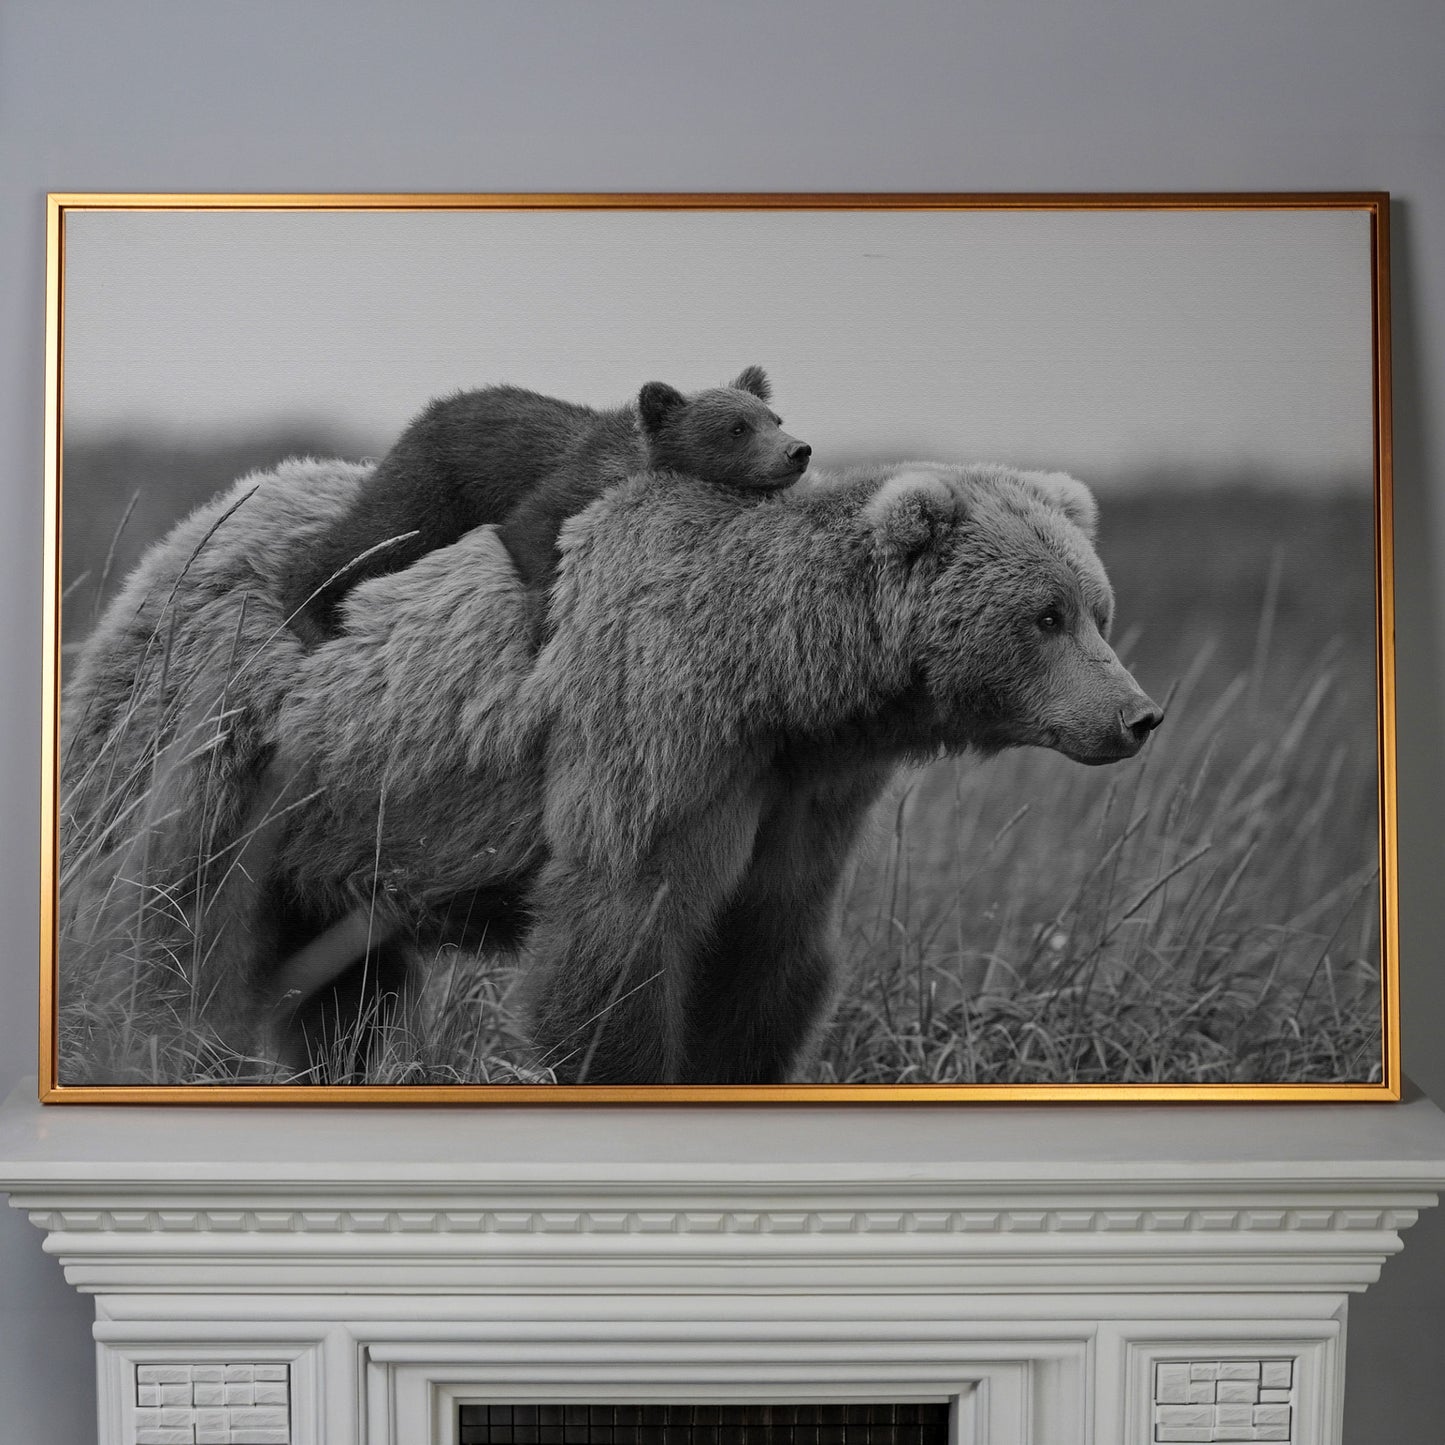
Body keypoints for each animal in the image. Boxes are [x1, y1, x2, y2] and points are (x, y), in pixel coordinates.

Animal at [59, 453, 1161, 1087]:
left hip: (340, 823)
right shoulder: (656, 732)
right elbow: (619, 934)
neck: (783, 678)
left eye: (1096, 607)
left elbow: (766, 952)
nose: (1137, 714)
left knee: (340, 980)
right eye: (1045, 614)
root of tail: (186, 530)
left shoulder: (800, 795)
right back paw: (169, 1047)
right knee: (174, 914)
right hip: (220, 739)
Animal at [278, 365, 811, 644]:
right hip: (432, 484)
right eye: (737, 428)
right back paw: (310, 612)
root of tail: (426, 413)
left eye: (775, 418)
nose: (798, 450)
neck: (633, 461)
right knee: (375, 535)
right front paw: (543, 622)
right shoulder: (570, 482)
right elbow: (530, 529)